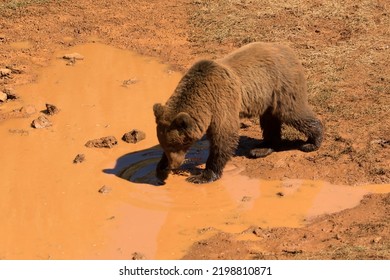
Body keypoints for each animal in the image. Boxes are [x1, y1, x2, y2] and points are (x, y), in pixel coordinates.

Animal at [153, 42, 322, 184]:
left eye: (176, 144)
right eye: (165, 144)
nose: (174, 164)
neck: (204, 97)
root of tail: (289, 50)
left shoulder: (221, 103)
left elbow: (224, 136)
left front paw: (202, 175)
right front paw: (161, 169)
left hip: (281, 86)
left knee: (293, 113)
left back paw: (311, 142)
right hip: (267, 96)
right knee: (269, 121)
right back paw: (261, 149)